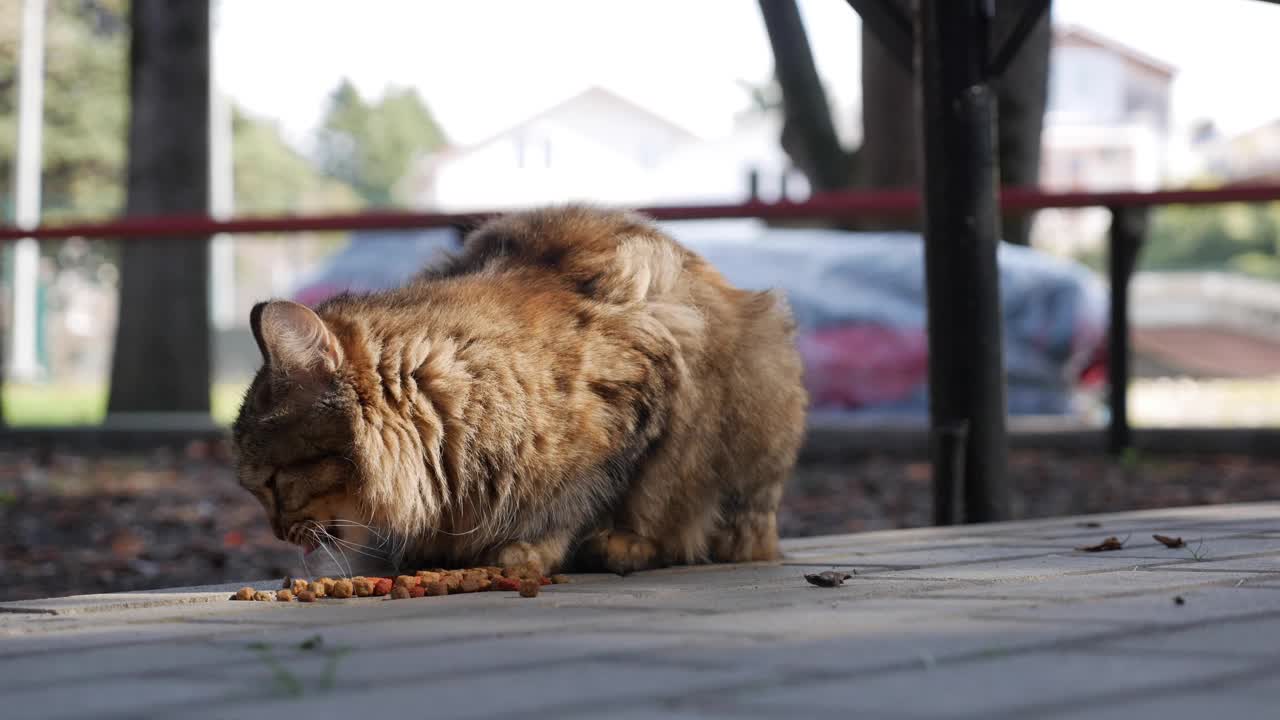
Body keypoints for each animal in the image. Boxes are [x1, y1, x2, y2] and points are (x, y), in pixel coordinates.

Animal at [235, 206, 803, 571]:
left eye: (272, 482)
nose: (277, 532)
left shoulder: (642, 391)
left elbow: (580, 499)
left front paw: (533, 549)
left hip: (759, 375)